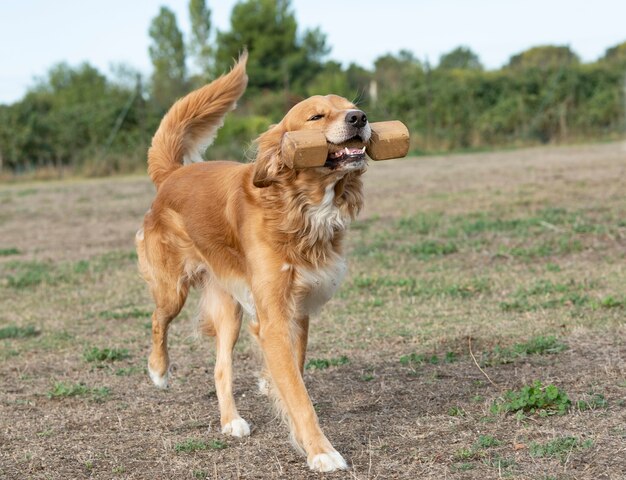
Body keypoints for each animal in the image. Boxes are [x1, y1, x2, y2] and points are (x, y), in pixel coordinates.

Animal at [135, 50, 370, 470]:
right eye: (316, 116)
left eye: (351, 107)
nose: (359, 118)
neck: (299, 205)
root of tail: (173, 174)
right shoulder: (273, 317)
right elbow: (299, 394)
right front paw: (321, 451)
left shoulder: (298, 307)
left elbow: (295, 367)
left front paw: (270, 385)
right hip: (173, 288)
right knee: (158, 319)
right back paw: (159, 370)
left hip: (230, 307)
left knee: (220, 368)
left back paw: (231, 421)